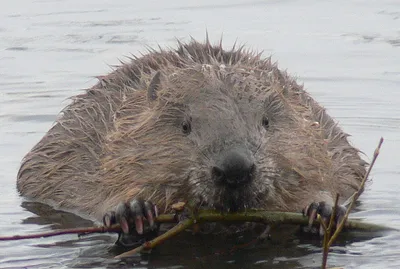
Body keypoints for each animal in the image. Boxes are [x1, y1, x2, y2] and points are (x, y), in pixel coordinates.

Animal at [17, 37, 368, 239]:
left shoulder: (323, 140)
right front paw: (132, 210)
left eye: (266, 121)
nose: (235, 168)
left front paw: (323, 209)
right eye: (185, 126)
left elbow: (329, 172)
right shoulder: (88, 141)